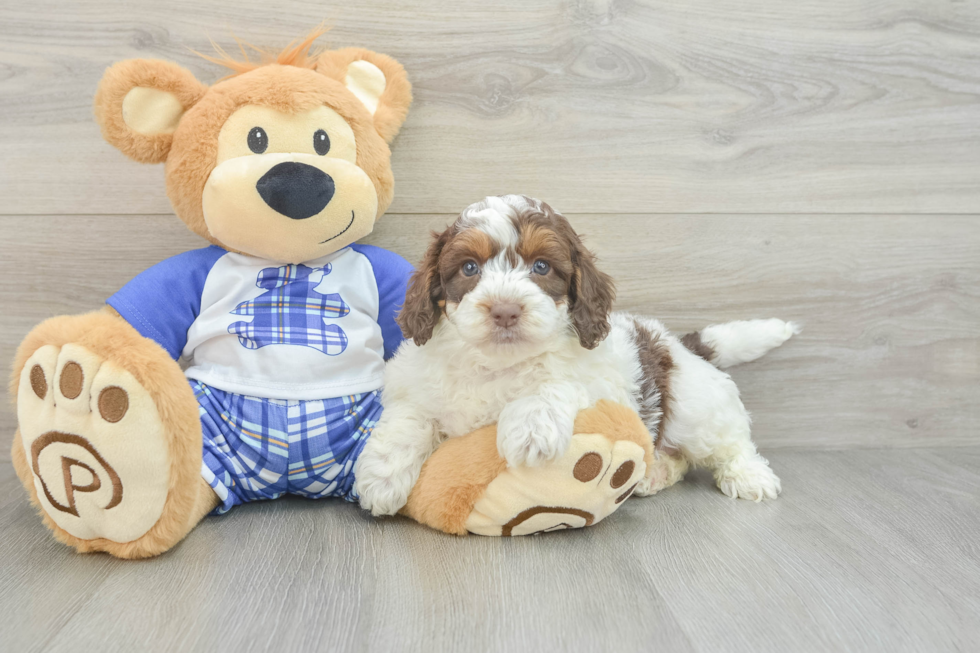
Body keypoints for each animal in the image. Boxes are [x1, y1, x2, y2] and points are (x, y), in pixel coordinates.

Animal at [356, 194, 800, 516]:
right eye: (468, 268)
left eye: (541, 266)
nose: (505, 310)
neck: (497, 364)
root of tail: (675, 343)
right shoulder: (413, 383)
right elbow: (409, 418)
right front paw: (381, 478)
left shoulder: (602, 382)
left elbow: (557, 382)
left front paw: (531, 428)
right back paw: (655, 473)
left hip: (698, 407)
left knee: (729, 441)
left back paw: (748, 475)